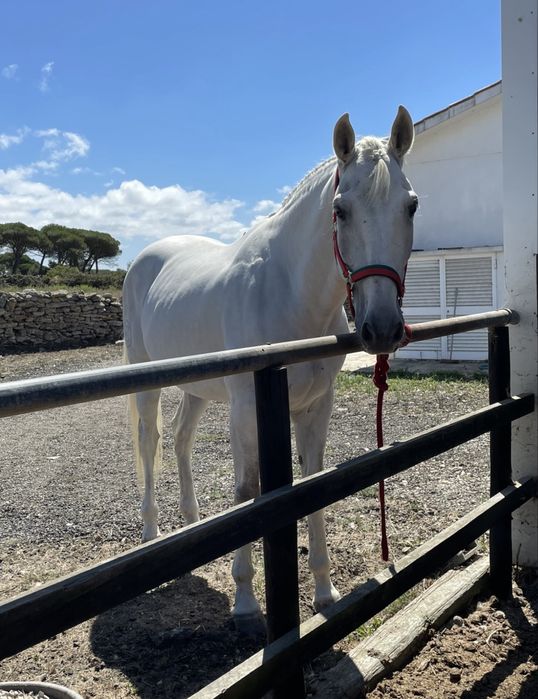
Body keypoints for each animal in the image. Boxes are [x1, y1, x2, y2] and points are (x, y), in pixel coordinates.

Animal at [122, 108, 417, 629]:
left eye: (412, 207)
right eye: (340, 210)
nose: (381, 328)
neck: (288, 292)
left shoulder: (316, 407)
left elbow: (315, 482)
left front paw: (324, 592)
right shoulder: (246, 409)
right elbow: (248, 490)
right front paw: (245, 600)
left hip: (197, 388)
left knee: (180, 438)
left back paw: (192, 523)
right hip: (148, 379)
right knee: (150, 440)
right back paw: (153, 531)